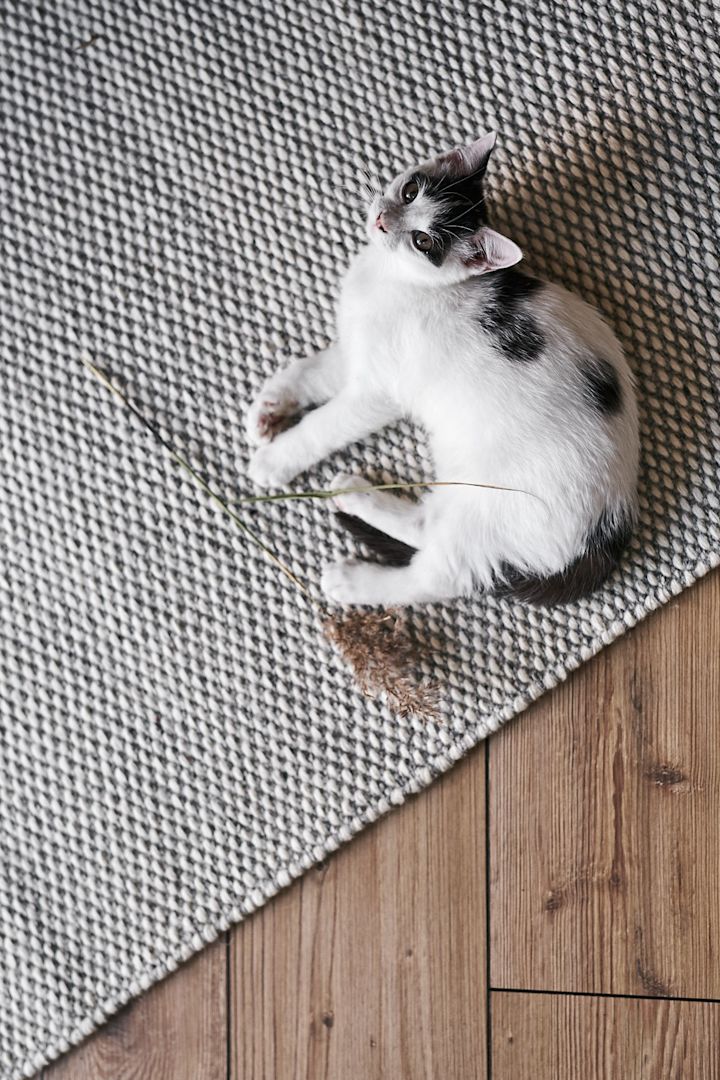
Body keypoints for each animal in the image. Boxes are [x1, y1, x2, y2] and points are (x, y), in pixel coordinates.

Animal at [245, 132, 639, 609]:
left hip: (489, 506)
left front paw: (274, 459)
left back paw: (353, 581)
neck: (391, 277)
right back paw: (353, 493)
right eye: (410, 191)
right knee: (426, 526)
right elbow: (310, 371)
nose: (383, 221)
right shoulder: (359, 351)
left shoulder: (377, 393)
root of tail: (607, 533)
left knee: (438, 577)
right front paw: (268, 409)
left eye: (422, 242)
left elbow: (323, 426)